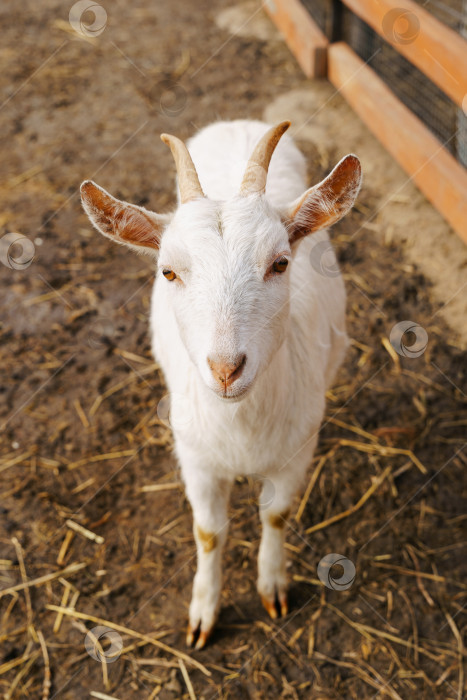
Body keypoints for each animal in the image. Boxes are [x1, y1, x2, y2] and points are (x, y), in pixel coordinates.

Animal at [80, 120, 362, 652]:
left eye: (280, 263)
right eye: (168, 271)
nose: (226, 369)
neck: (241, 426)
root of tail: (236, 125)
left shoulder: (295, 453)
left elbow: (276, 515)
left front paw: (272, 587)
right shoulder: (196, 459)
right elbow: (209, 533)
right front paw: (203, 613)